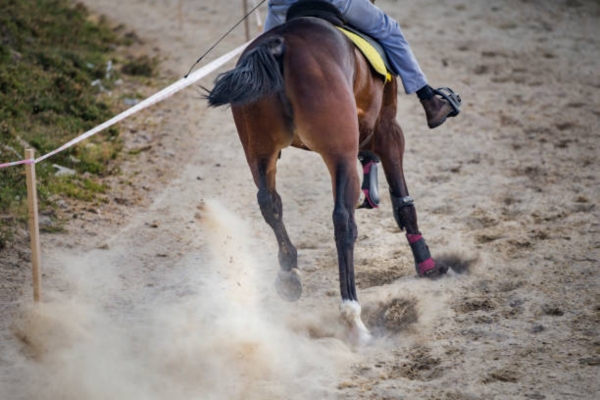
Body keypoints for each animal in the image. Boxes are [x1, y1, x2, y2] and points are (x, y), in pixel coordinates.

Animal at [206, 6, 446, 342]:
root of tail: (279, 46)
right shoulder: (388, 129)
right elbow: (403, 199)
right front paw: (426, 263)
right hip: (339, 153)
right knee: (343, 221)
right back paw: (352, 315)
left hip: (259, 154)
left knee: (269, 202)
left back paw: (289, 274)